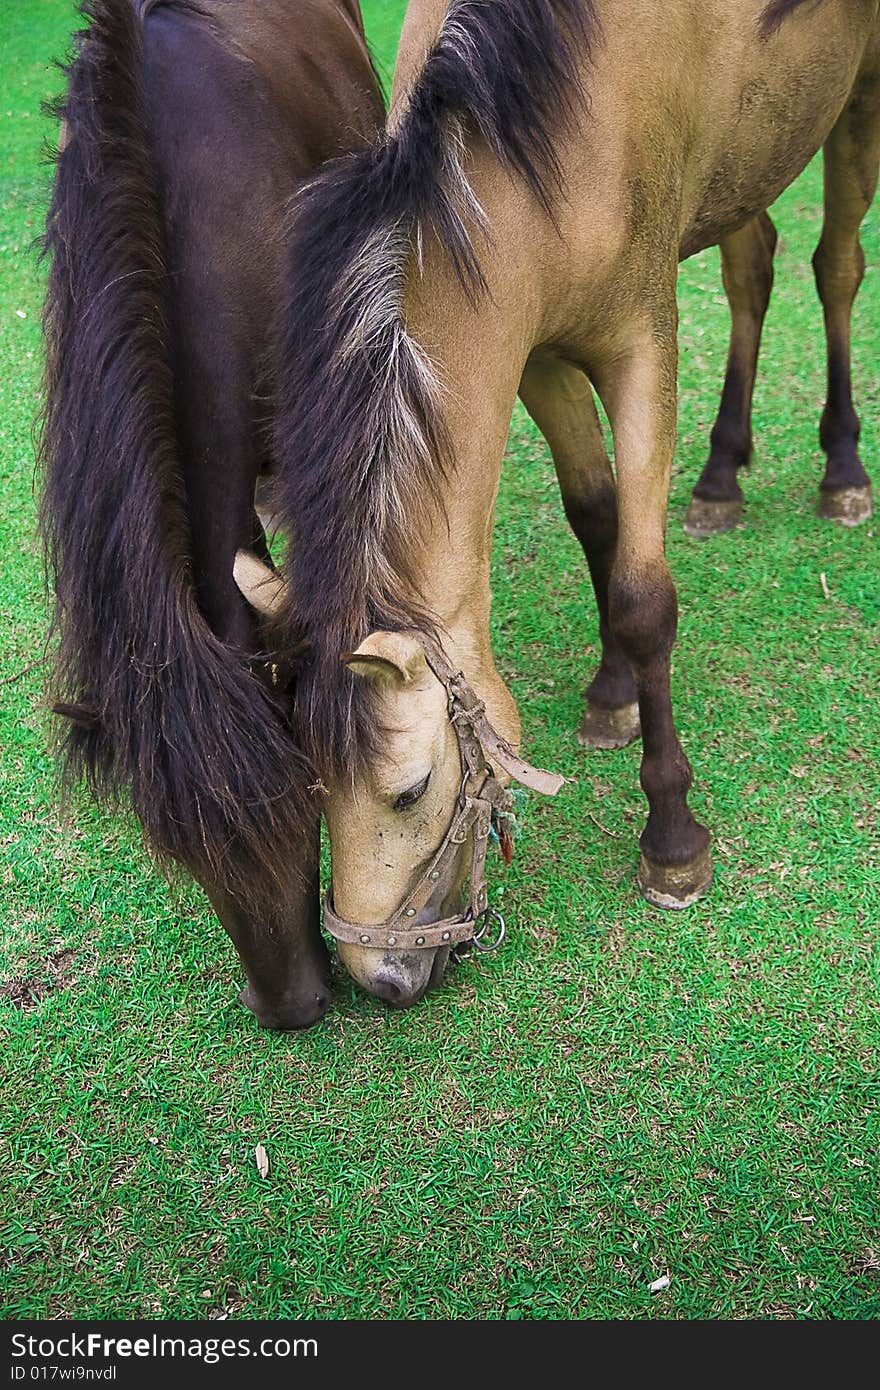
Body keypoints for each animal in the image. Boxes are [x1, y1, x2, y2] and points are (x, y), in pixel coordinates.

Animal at [234, 0, 878, 1006]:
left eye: (408, 790)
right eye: (308, 783)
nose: (379, 978)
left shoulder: (642, 344)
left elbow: (644, 597)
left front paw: (672, 838)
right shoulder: (532, 351)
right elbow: (597, 520)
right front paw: (612, 696)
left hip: (859, 102)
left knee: (837, 264)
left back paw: (842, 470)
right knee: (755, 263)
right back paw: (722, 473)